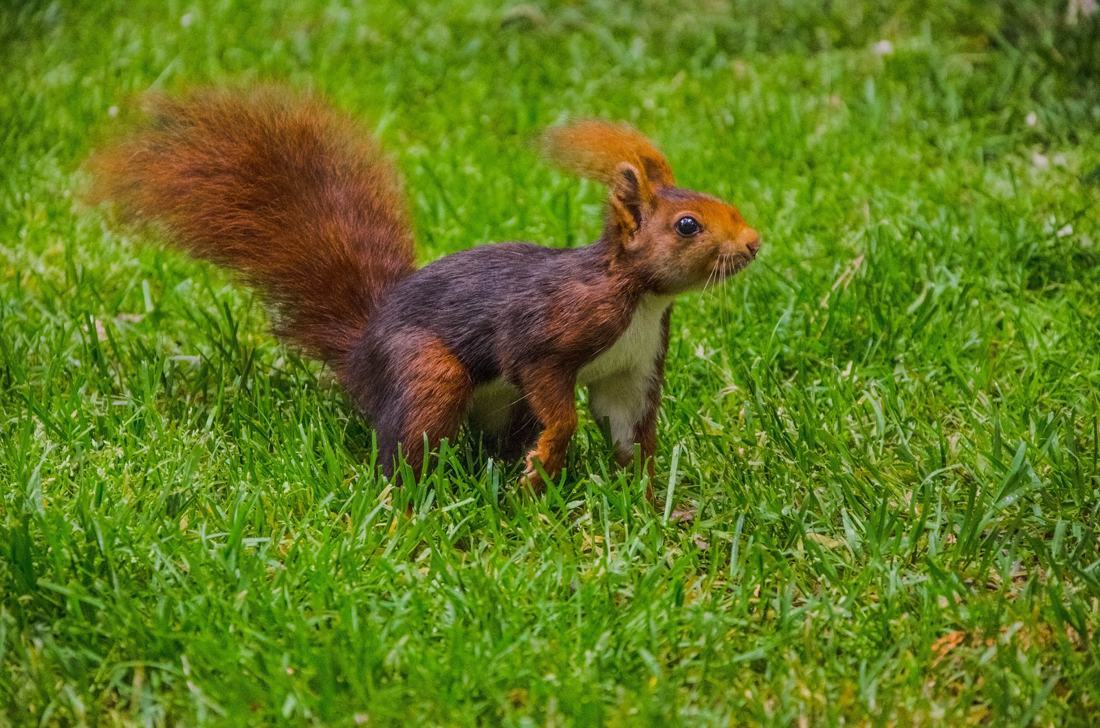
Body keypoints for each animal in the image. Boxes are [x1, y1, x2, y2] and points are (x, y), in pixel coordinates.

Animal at [89, 86, 760, 497]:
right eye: (688, 225)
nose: (753, 243)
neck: (640, 296)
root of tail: (362, 351)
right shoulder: (553, 330)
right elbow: (553, 392)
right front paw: (548, 462)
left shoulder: (633, 364)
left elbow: (626, 429)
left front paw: (647, 501)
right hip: (427, 369)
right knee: (410, 440)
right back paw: (409, 504)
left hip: (500, 401)